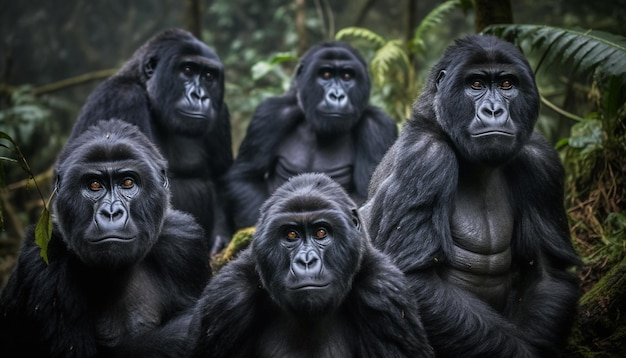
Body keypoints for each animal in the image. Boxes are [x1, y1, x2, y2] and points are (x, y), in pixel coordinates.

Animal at [67, 27, 232, 252]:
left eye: (208, 76)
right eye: (188, 70)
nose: (200, 96)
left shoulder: (220, 111)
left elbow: (221, 177)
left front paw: (221, 237)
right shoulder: (123, 98)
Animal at [224, 39, 394, 229]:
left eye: (347, 76)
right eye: (325, 75)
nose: (337, 96)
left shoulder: (378, 127)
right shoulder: (270, 114)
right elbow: (246, 177)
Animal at [358, 34, 584, 358]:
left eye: (507, 84)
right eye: (476, 84)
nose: (494, 111)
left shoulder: (542, 161)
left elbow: (548, 272)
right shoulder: (426, 156)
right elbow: (412, 279)